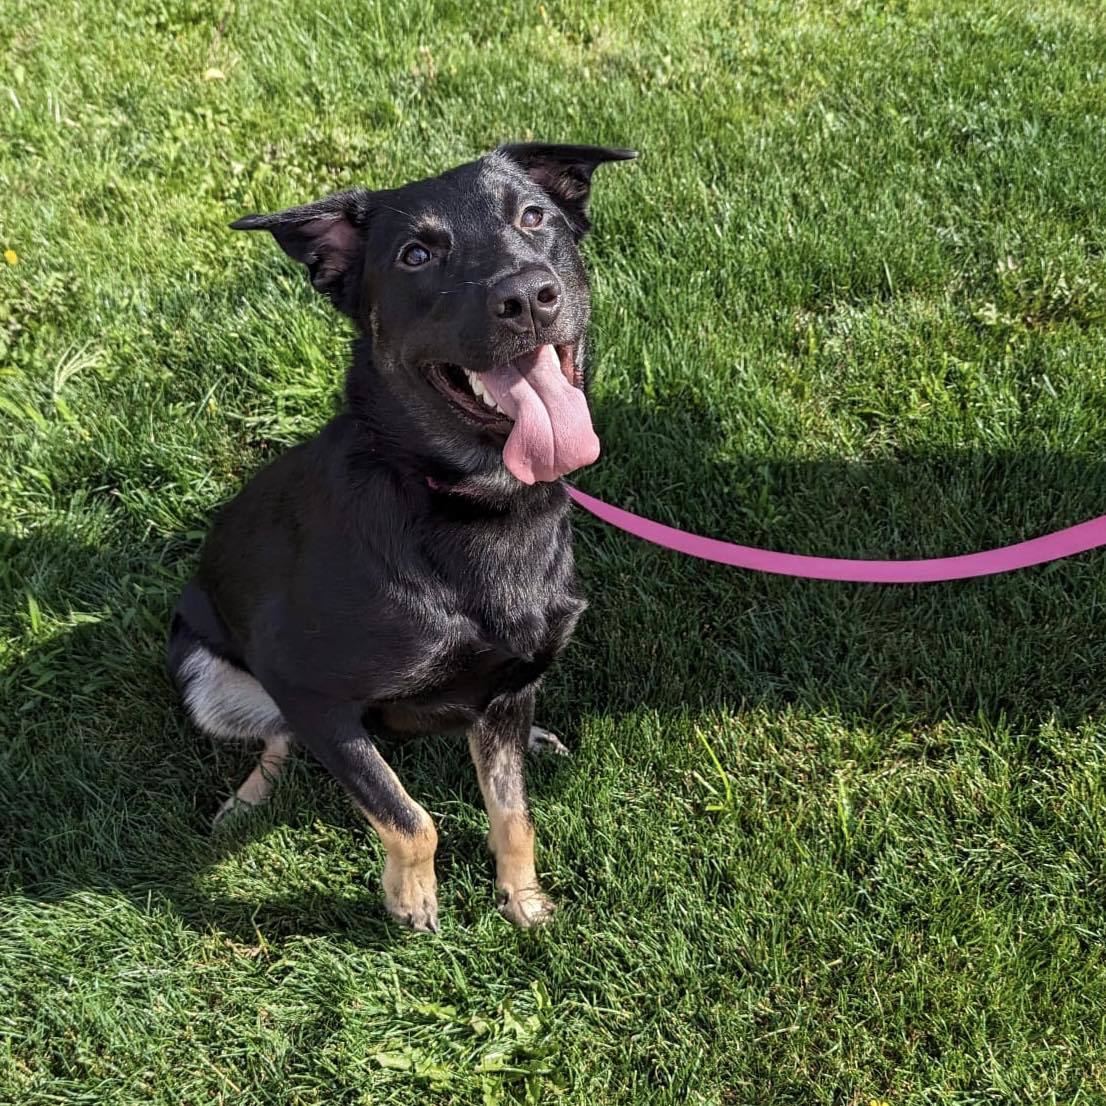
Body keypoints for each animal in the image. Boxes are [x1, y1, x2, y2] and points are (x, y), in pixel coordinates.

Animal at [162, 142, 632, 929]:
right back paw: (250, 799)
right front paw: (411, 898)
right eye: (415, 255)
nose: (526, 296)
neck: (468, 503)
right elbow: (406, 814)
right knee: (276, 737)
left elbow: (513, 813)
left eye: (534, 217)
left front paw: (523, 899)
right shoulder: (308, 689)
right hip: (202, 673)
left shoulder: (510, 680)